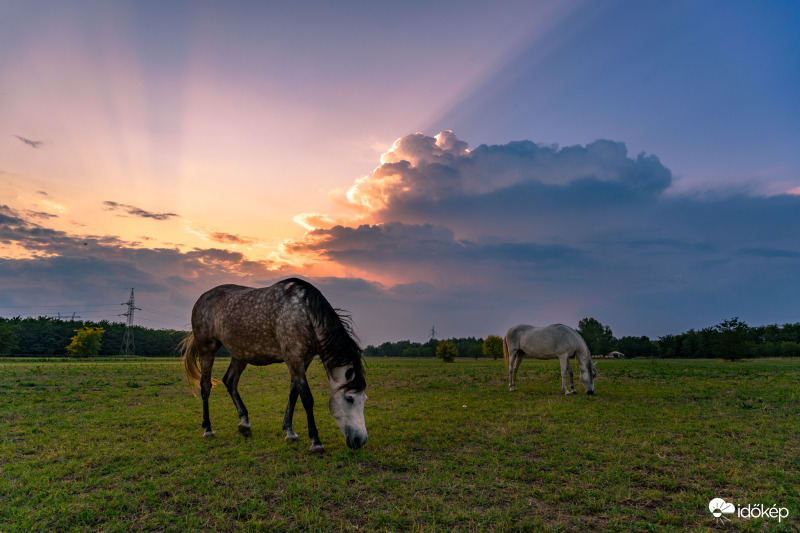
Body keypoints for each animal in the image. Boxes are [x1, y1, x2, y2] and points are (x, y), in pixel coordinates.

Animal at [180, 276, 368, 450]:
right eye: (349, 399)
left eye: (364, 399)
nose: (360, 440)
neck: (304, 312)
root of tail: (202, 298)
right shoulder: (294, 358)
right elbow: (306, 398)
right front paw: (315, 441)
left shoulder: (304, 361)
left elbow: (293, 394)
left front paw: (290, 432)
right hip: (207, 349)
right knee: (206, 386)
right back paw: (208, 429)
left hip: (240, 354)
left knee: (230, 381)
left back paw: (245, 424)